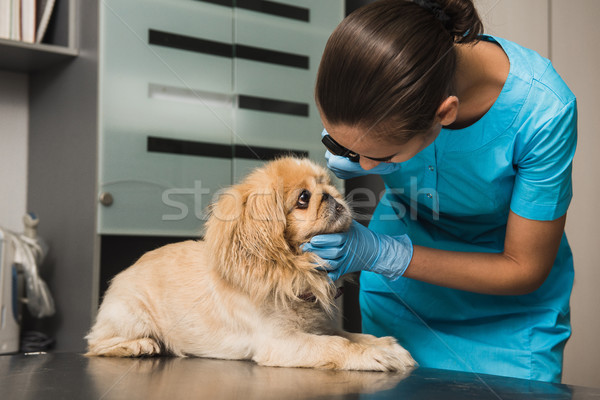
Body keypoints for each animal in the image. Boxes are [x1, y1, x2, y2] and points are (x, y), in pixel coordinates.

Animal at [84, 156, 414, 372]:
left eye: (328, 185)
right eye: (304, 198)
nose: (333, 197)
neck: (295, 274)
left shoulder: (321, 327)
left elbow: (356, 336)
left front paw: (387, 346)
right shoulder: (281, 342)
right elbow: (337, 345)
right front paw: (372, 357)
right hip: (131, 317)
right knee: (95, 344)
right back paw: (140, 346)